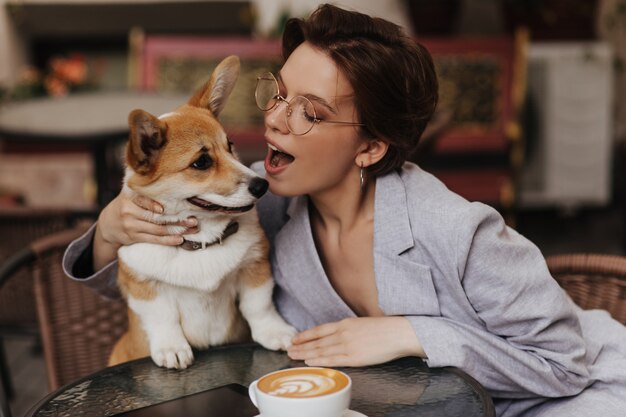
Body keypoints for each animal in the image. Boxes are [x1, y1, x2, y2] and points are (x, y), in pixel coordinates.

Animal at [109, 54, 294, 368]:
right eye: (201, 163)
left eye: (230, 146)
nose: (262, 185)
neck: (202, 240)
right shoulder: (142, 286)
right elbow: (162, 318)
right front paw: (171, 348)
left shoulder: (254, 268)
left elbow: (259, 306)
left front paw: (275, 332)